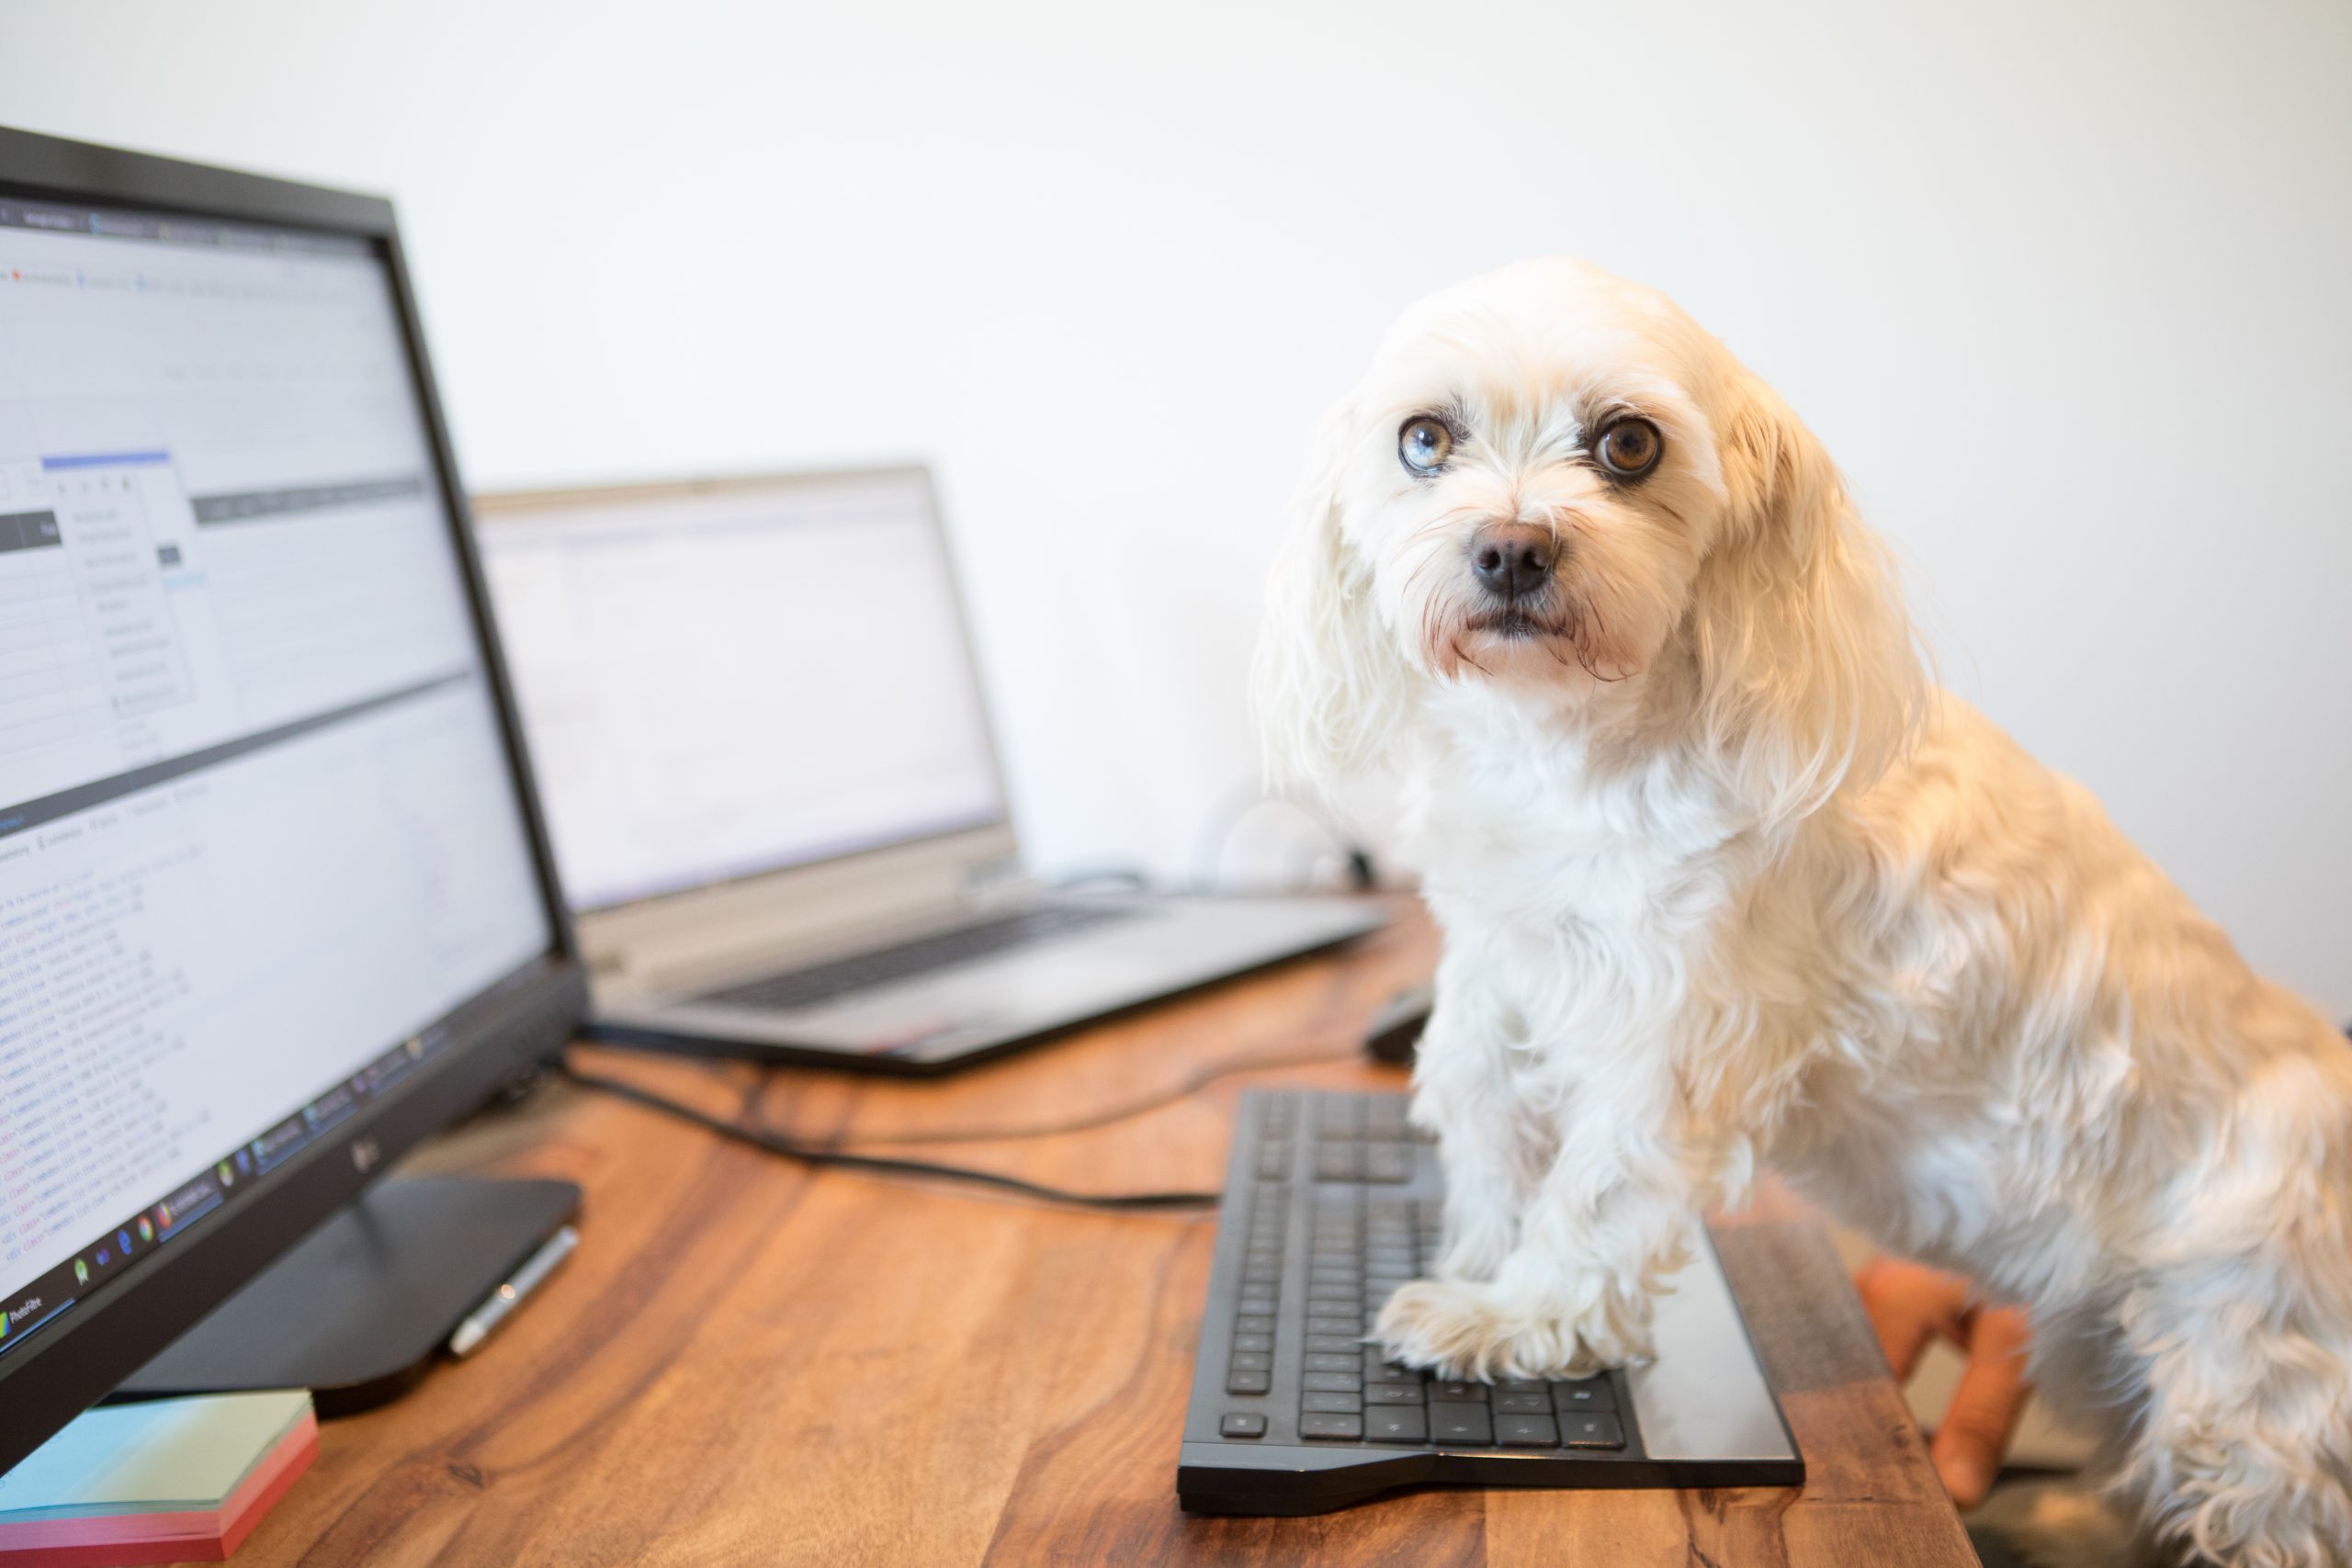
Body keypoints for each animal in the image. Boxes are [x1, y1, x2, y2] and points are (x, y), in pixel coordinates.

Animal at [1261, 257, 2352, 1568]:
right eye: (1424, 437)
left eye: (1628, 443)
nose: (1512, 549)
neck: (1575, 750)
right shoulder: (1505, 963)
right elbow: (1482, 1113)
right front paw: (1478, 1251)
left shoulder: (1674, 1036)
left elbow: (1595, 1193)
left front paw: (1512, 1317)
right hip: (2114, 1360)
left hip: (2245, 1385)